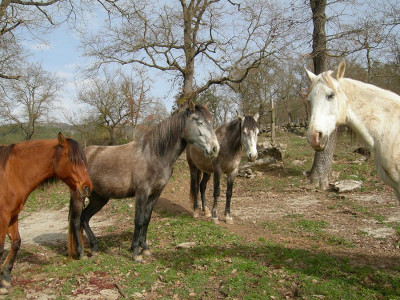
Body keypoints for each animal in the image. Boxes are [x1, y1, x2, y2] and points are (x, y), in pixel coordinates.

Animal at [0, 132, 91, 294]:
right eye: (72, 160)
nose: (87, 187)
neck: (10, 174)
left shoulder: (12, 215)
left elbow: (16, 242)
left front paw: (5, 277)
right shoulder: (3, 216)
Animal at [68, 101, 219, 262]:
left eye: (211, 122)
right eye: (199, 122)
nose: (215, 148)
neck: (153, 154)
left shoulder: (155, 194)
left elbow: (146, 219)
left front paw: (145, 248)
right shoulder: (142, 193)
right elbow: (138, 220)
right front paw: (135, 252)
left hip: (99, 198)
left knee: (85, 218)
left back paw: (95, 248)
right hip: (78, 196)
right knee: (76, 221)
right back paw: (81, 253)